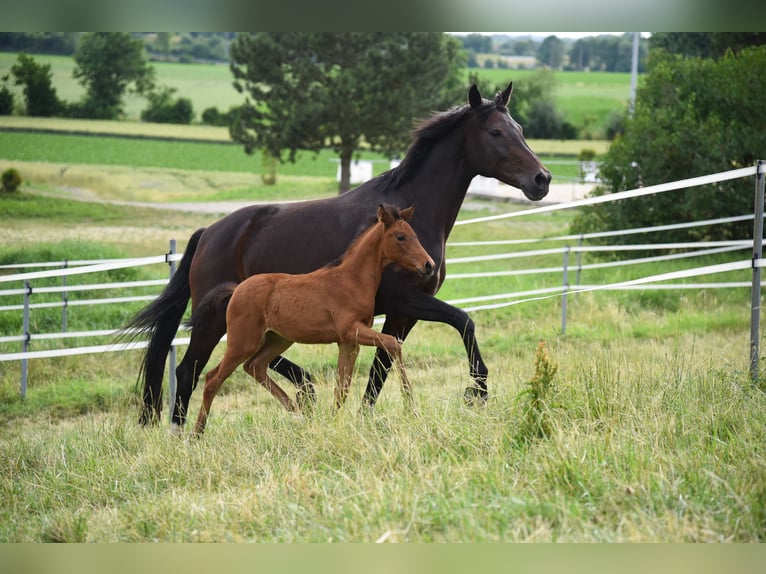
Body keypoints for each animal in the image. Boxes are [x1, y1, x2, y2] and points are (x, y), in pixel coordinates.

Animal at [190, 207, 436, 436]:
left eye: (414, 235)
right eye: (400, 237)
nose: (429, 265)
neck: (352, 279)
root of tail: (236, 290)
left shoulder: (348, 342)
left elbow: (342, 387)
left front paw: (333, 423)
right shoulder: (351, 331)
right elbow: (392, 343)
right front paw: (411, 407)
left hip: (278, 339)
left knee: (255, 366)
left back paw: (297, 414)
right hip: (242, 342)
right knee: (213, 379)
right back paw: (196, 434)